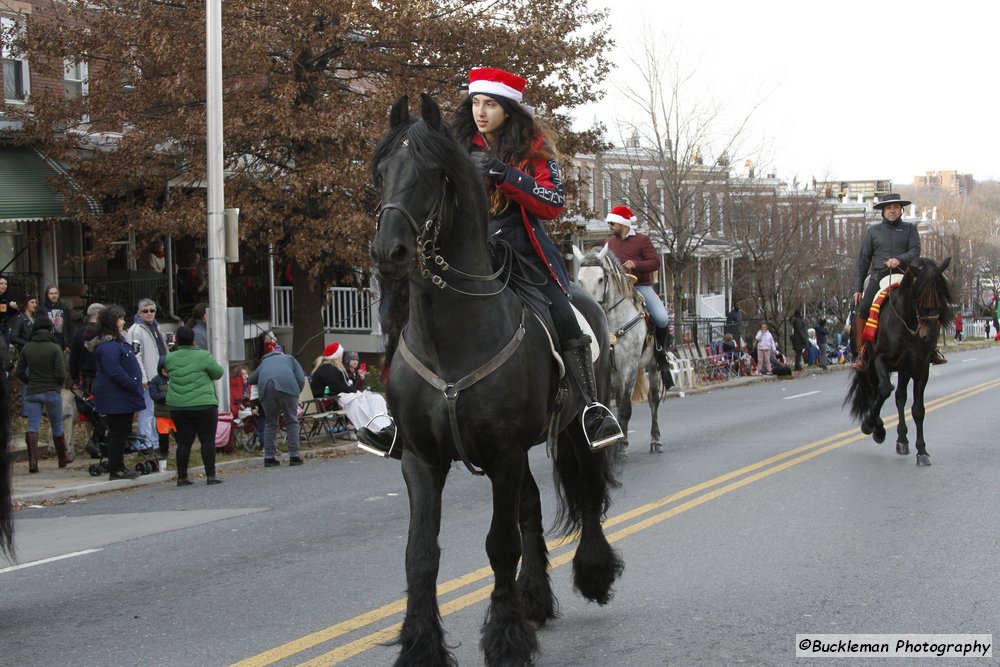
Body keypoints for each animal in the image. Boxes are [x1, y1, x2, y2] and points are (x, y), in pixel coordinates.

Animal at [372, 95, 620, 667]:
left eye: (433, 173)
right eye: (382, 171)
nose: (389, 251)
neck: (452, 337)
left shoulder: (504, 453)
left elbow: (500, 545)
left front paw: (505, 639)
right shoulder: (423, 458)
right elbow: (421, 553)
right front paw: (420, 645)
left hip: (577, 428)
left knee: (588, 492)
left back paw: (592, 574)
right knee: (530, 508)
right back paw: (535, 598)